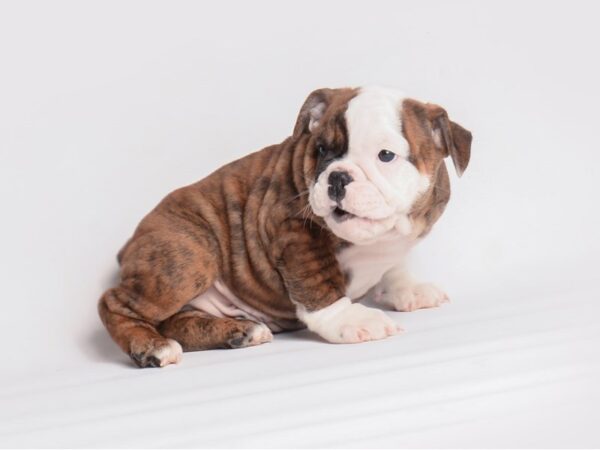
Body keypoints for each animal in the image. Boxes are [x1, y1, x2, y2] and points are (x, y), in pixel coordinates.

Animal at [98, 85, 472, 370]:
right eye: (320, 149)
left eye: (385, 155)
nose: (337, 177)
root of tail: (128, 246)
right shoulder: (294, 232)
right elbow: (319, 285)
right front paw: (351, 320)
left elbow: (395, 266)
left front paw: (408, 288)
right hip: (189, 254)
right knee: (114, 303)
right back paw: (151, 347)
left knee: (176, 322)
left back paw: (239, 332)